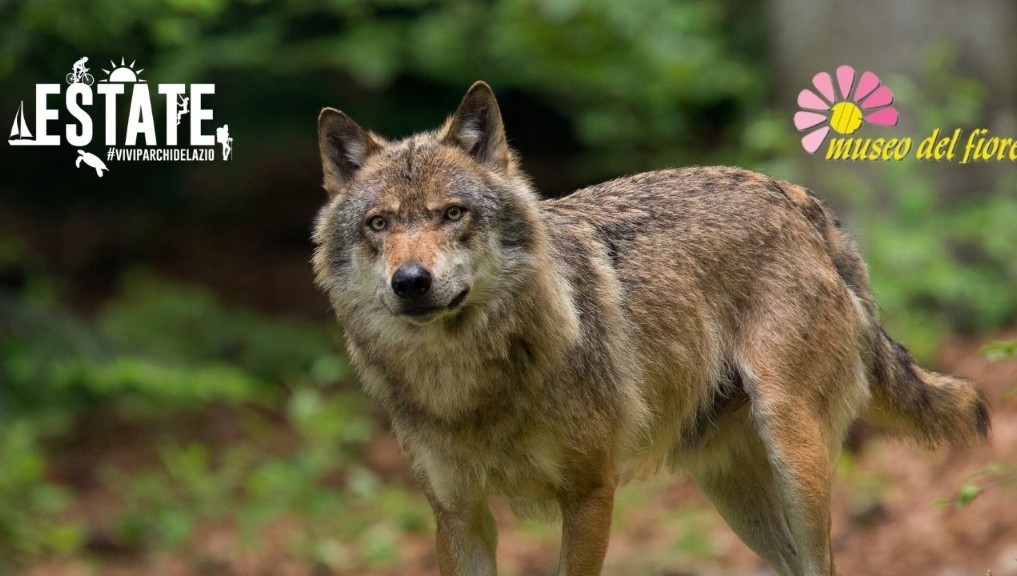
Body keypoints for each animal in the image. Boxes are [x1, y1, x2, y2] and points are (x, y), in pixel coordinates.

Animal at [312, 82, 989, 576]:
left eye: (453, 214)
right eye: (378, 224)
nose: (411, 281)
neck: (468, 385)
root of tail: (797, 197)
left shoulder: (589, 493)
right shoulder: (458, 515)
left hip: (794, 456)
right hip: (732, 492)